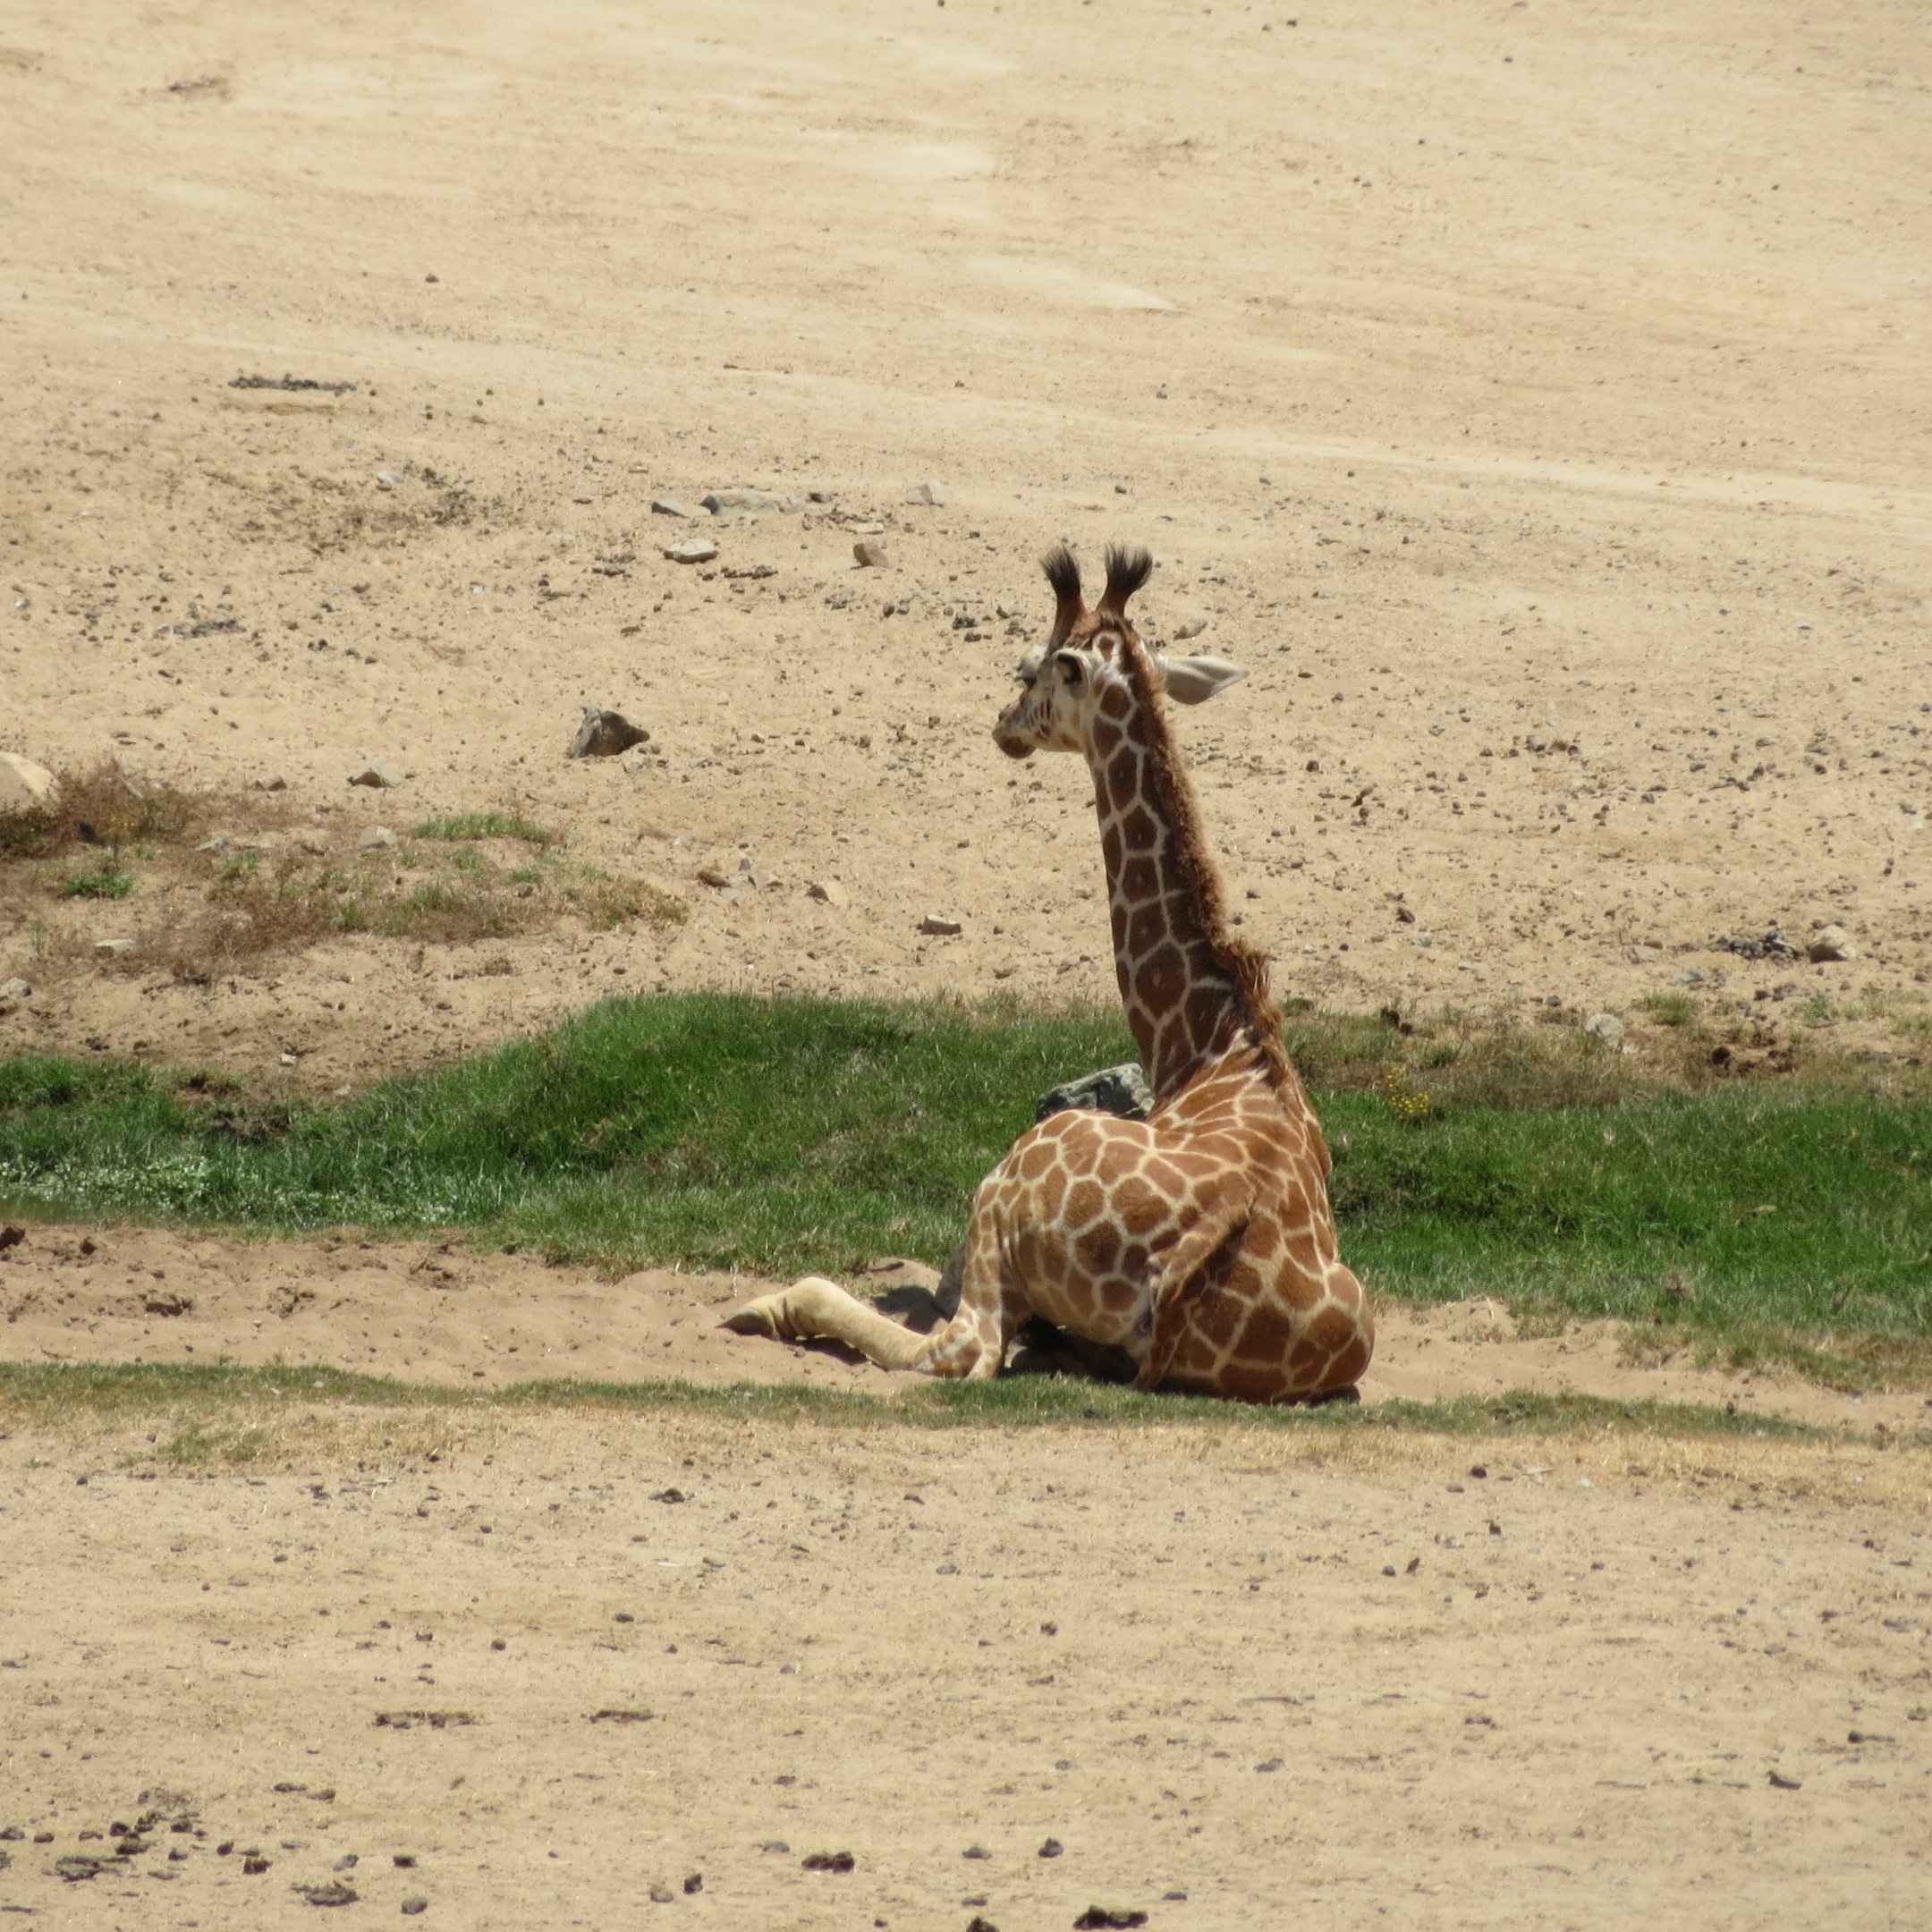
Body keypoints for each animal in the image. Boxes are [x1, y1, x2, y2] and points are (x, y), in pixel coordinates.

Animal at [723, 543, 1374, 1401]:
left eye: (1029, 670)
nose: (1003, 724)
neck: (1214, 1039)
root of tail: (1192, 1258)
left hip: (1014, 1169)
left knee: (963, 1349)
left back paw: (767, 1305)